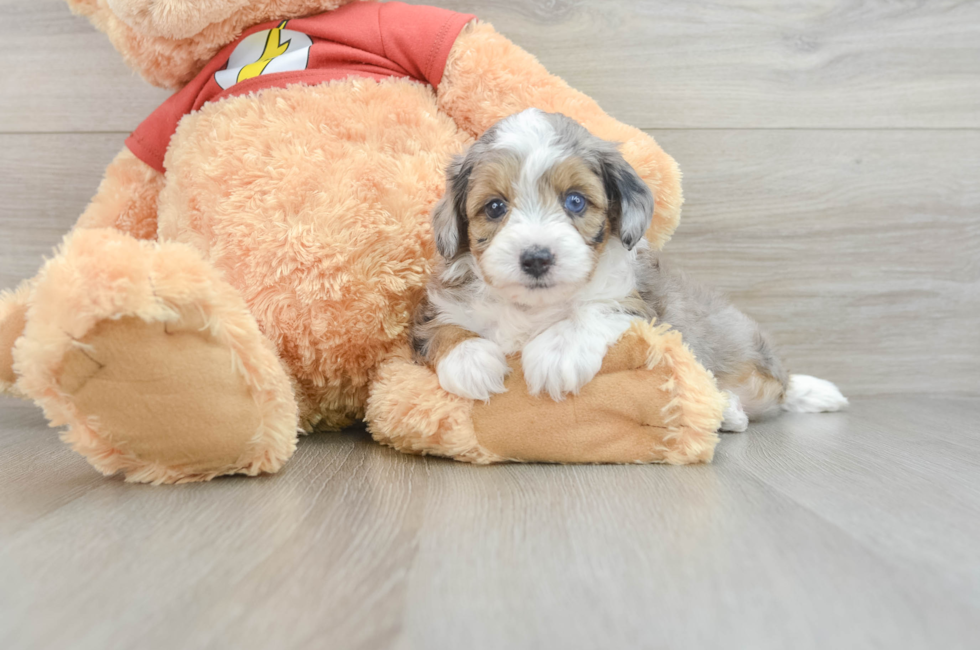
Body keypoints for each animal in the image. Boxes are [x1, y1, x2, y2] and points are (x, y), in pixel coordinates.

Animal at [410, 108, 848, 428]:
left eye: (575, 201)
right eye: (495, 207)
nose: (536, 257)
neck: (533, 309)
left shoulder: (643, 307)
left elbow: (598, 310)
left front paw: (558, 351)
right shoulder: (435, 309)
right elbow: (443, 327)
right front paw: (469, 360)